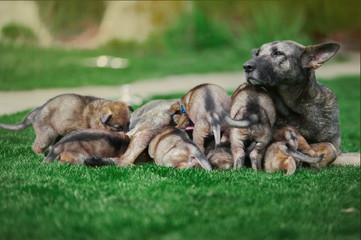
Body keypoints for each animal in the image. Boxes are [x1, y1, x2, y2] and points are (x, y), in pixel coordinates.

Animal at [0, 94, 133, 154]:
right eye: (117, 128)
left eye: (128, 124)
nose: (128, 135)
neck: (98, 117)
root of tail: (36, 111)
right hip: (47, 134)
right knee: (37, 146)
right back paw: (41, 156)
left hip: (58, 134)